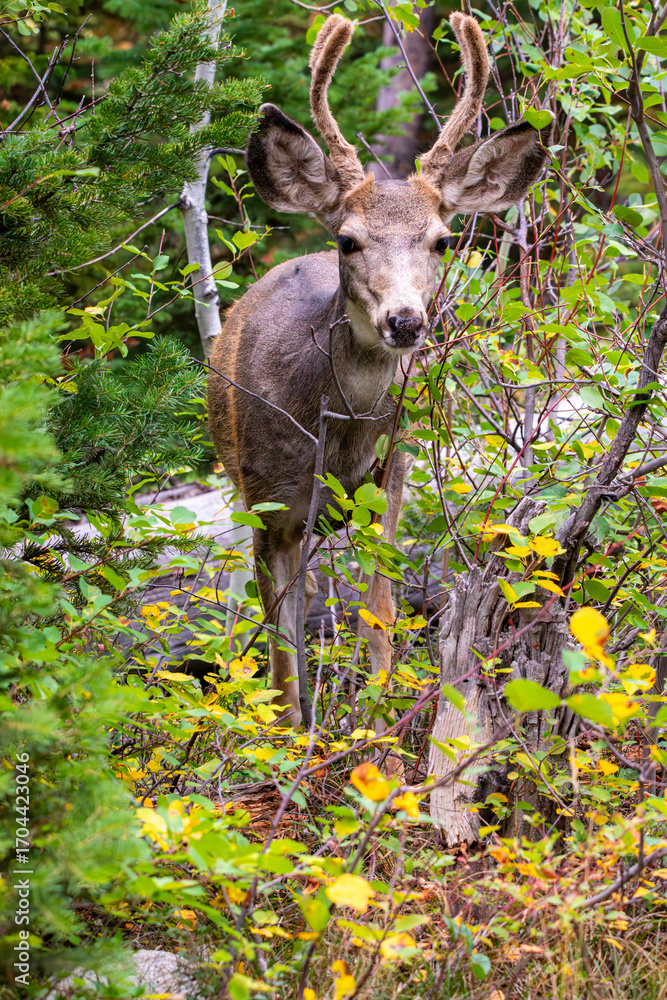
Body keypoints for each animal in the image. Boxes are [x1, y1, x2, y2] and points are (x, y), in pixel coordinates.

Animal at [208, 12, 550, 730]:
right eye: (348, 239)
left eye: (442, 241)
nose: (404, 321)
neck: (335, 433)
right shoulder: (267, 500)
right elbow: (281, 647)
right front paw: (287, 736)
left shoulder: (390, 476)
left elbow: (380, 608)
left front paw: (378, 717)